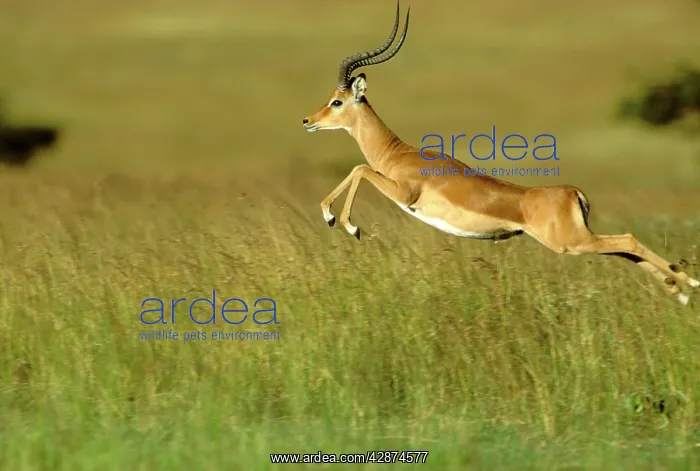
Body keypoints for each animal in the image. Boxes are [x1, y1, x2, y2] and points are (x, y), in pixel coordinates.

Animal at [302, 1, 699, 305]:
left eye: (337, 101)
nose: (307, 120)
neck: (396, 154)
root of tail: (572, 192)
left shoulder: (404, 194)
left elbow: (358, 169)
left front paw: (344, 223)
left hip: (571, 243)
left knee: (628, 241)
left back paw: (690, 285)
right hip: (581, 241)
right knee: (626, 250)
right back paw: (679, 291)